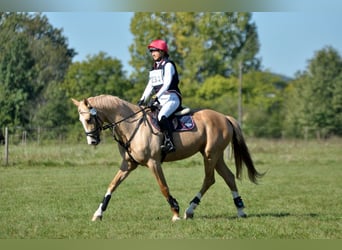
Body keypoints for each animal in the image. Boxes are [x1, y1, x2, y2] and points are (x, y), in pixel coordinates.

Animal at [72, 94, 264, 222]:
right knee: (228, 177)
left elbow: (163, 187)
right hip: (215, 156)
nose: (92, 141)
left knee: (209, 179)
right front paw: (98, 214)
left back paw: (189, 210)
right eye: (81, 120)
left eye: (89, 119)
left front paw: (175, 212)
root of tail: (224, 117)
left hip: (211, 155)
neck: (131, 124)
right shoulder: (128, 164)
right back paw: (240, 210)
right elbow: (112, 185)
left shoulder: (153, 163)